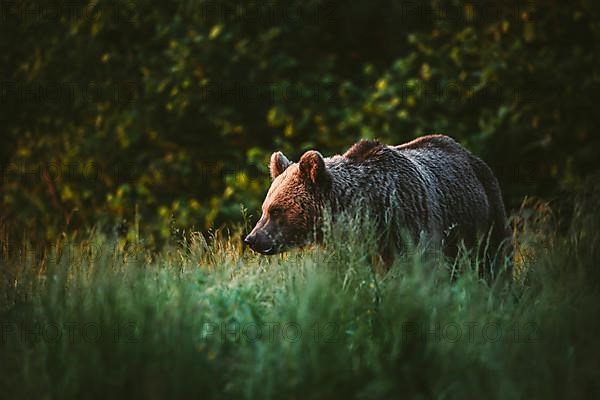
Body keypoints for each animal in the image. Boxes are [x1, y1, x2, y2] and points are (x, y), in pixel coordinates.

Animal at [244, 134, 510, 278]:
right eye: (265, 208)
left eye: (277, 210)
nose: (252, 239)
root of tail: (470, 155)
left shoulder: (409, 227)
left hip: (486, 215)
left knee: (494, 261)